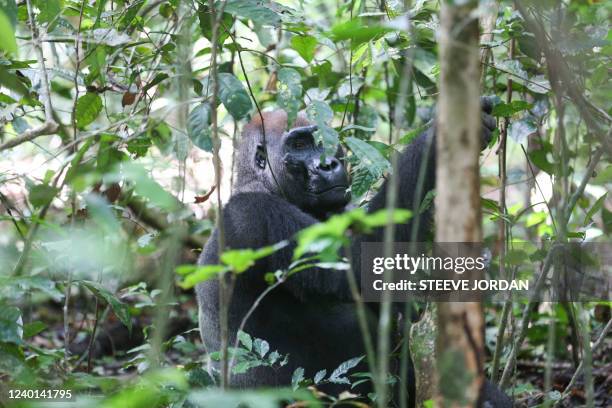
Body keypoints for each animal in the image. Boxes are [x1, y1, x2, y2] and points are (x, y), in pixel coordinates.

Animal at [196, 100, 512, 406]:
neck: (259, 184)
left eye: (323, 140)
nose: (328, 164)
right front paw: (436, 139)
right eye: (299, 145)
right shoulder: (254, 215)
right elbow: (362, 264)